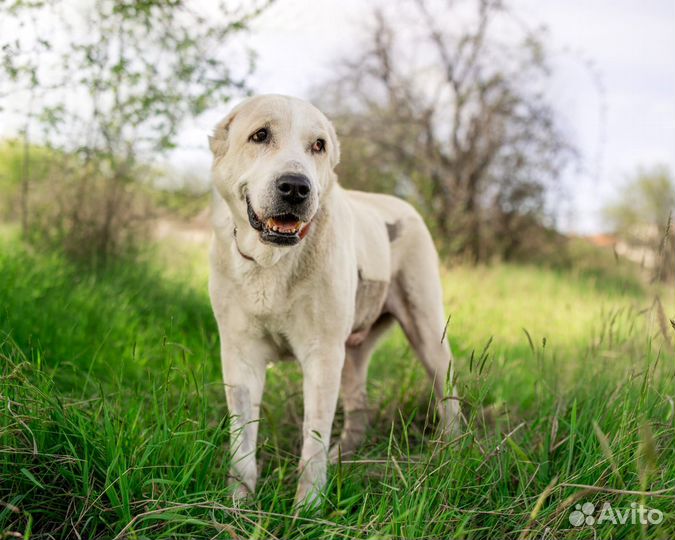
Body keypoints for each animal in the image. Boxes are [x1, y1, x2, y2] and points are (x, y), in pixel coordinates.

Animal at [207, 94, 460, 506]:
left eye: (319, 146)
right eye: (260, 135)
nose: (296, 187)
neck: (272, 262)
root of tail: (403, 205)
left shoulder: (322, 355)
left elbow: (313, 439)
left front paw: (307, 508)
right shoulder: (241, 356)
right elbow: (242, 442)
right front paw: (237, 505)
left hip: (427, 332)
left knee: (448, 396)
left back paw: (452, 453)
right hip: (353, 354)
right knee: (359, 409)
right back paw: (343, 456)